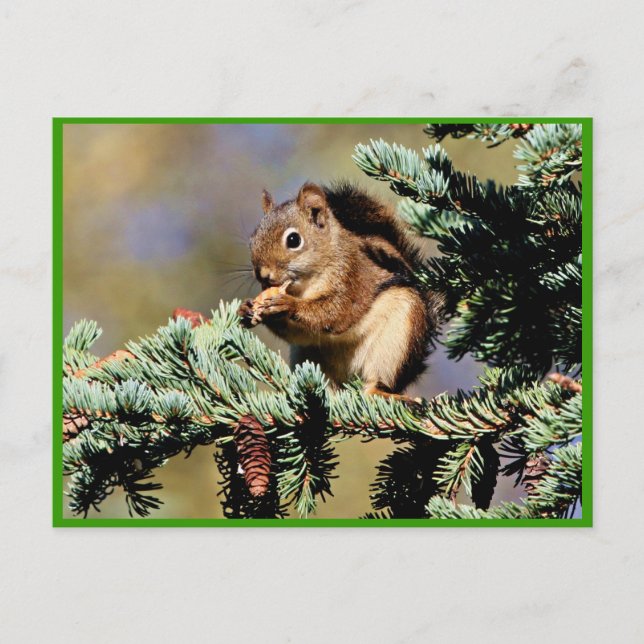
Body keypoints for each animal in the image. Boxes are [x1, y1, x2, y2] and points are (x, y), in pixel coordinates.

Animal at [237, 181, 443, 399]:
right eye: (253, 239)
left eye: (293, 240)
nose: (262, 274)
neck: (305, 286)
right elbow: (299, 333)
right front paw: (246, 309)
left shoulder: (352, 277)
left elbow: (337, 311)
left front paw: (288, 305)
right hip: (307, 355)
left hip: (397, 340)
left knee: (376, 384)